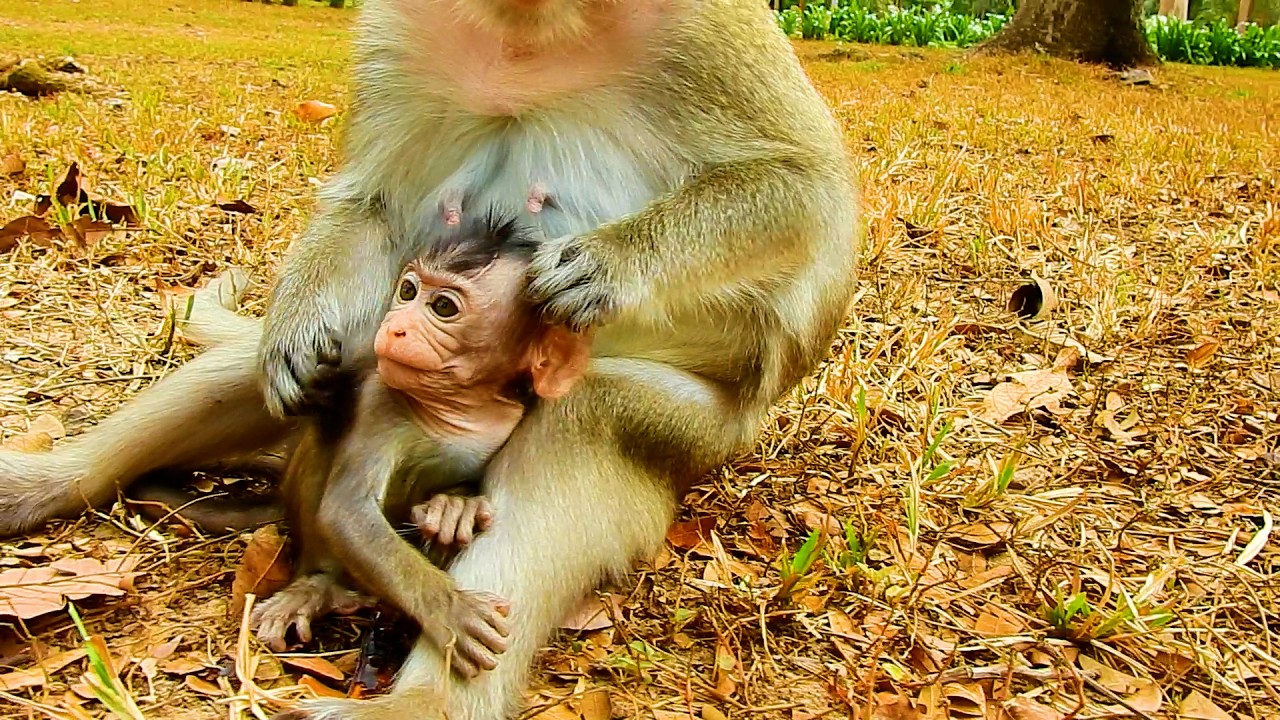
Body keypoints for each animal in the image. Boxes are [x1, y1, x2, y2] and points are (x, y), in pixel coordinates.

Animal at [0, 1, 860, 718]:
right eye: (421, 296)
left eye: (450, 308)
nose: (412, 326)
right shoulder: (398, 28)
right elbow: (373, 203)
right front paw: (299, 324)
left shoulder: (711, 28)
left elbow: (807, 188)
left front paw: (609, 262)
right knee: (308, 361)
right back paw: (55, 483)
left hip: (698, 436)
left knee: (584, 419)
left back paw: (423, 700)